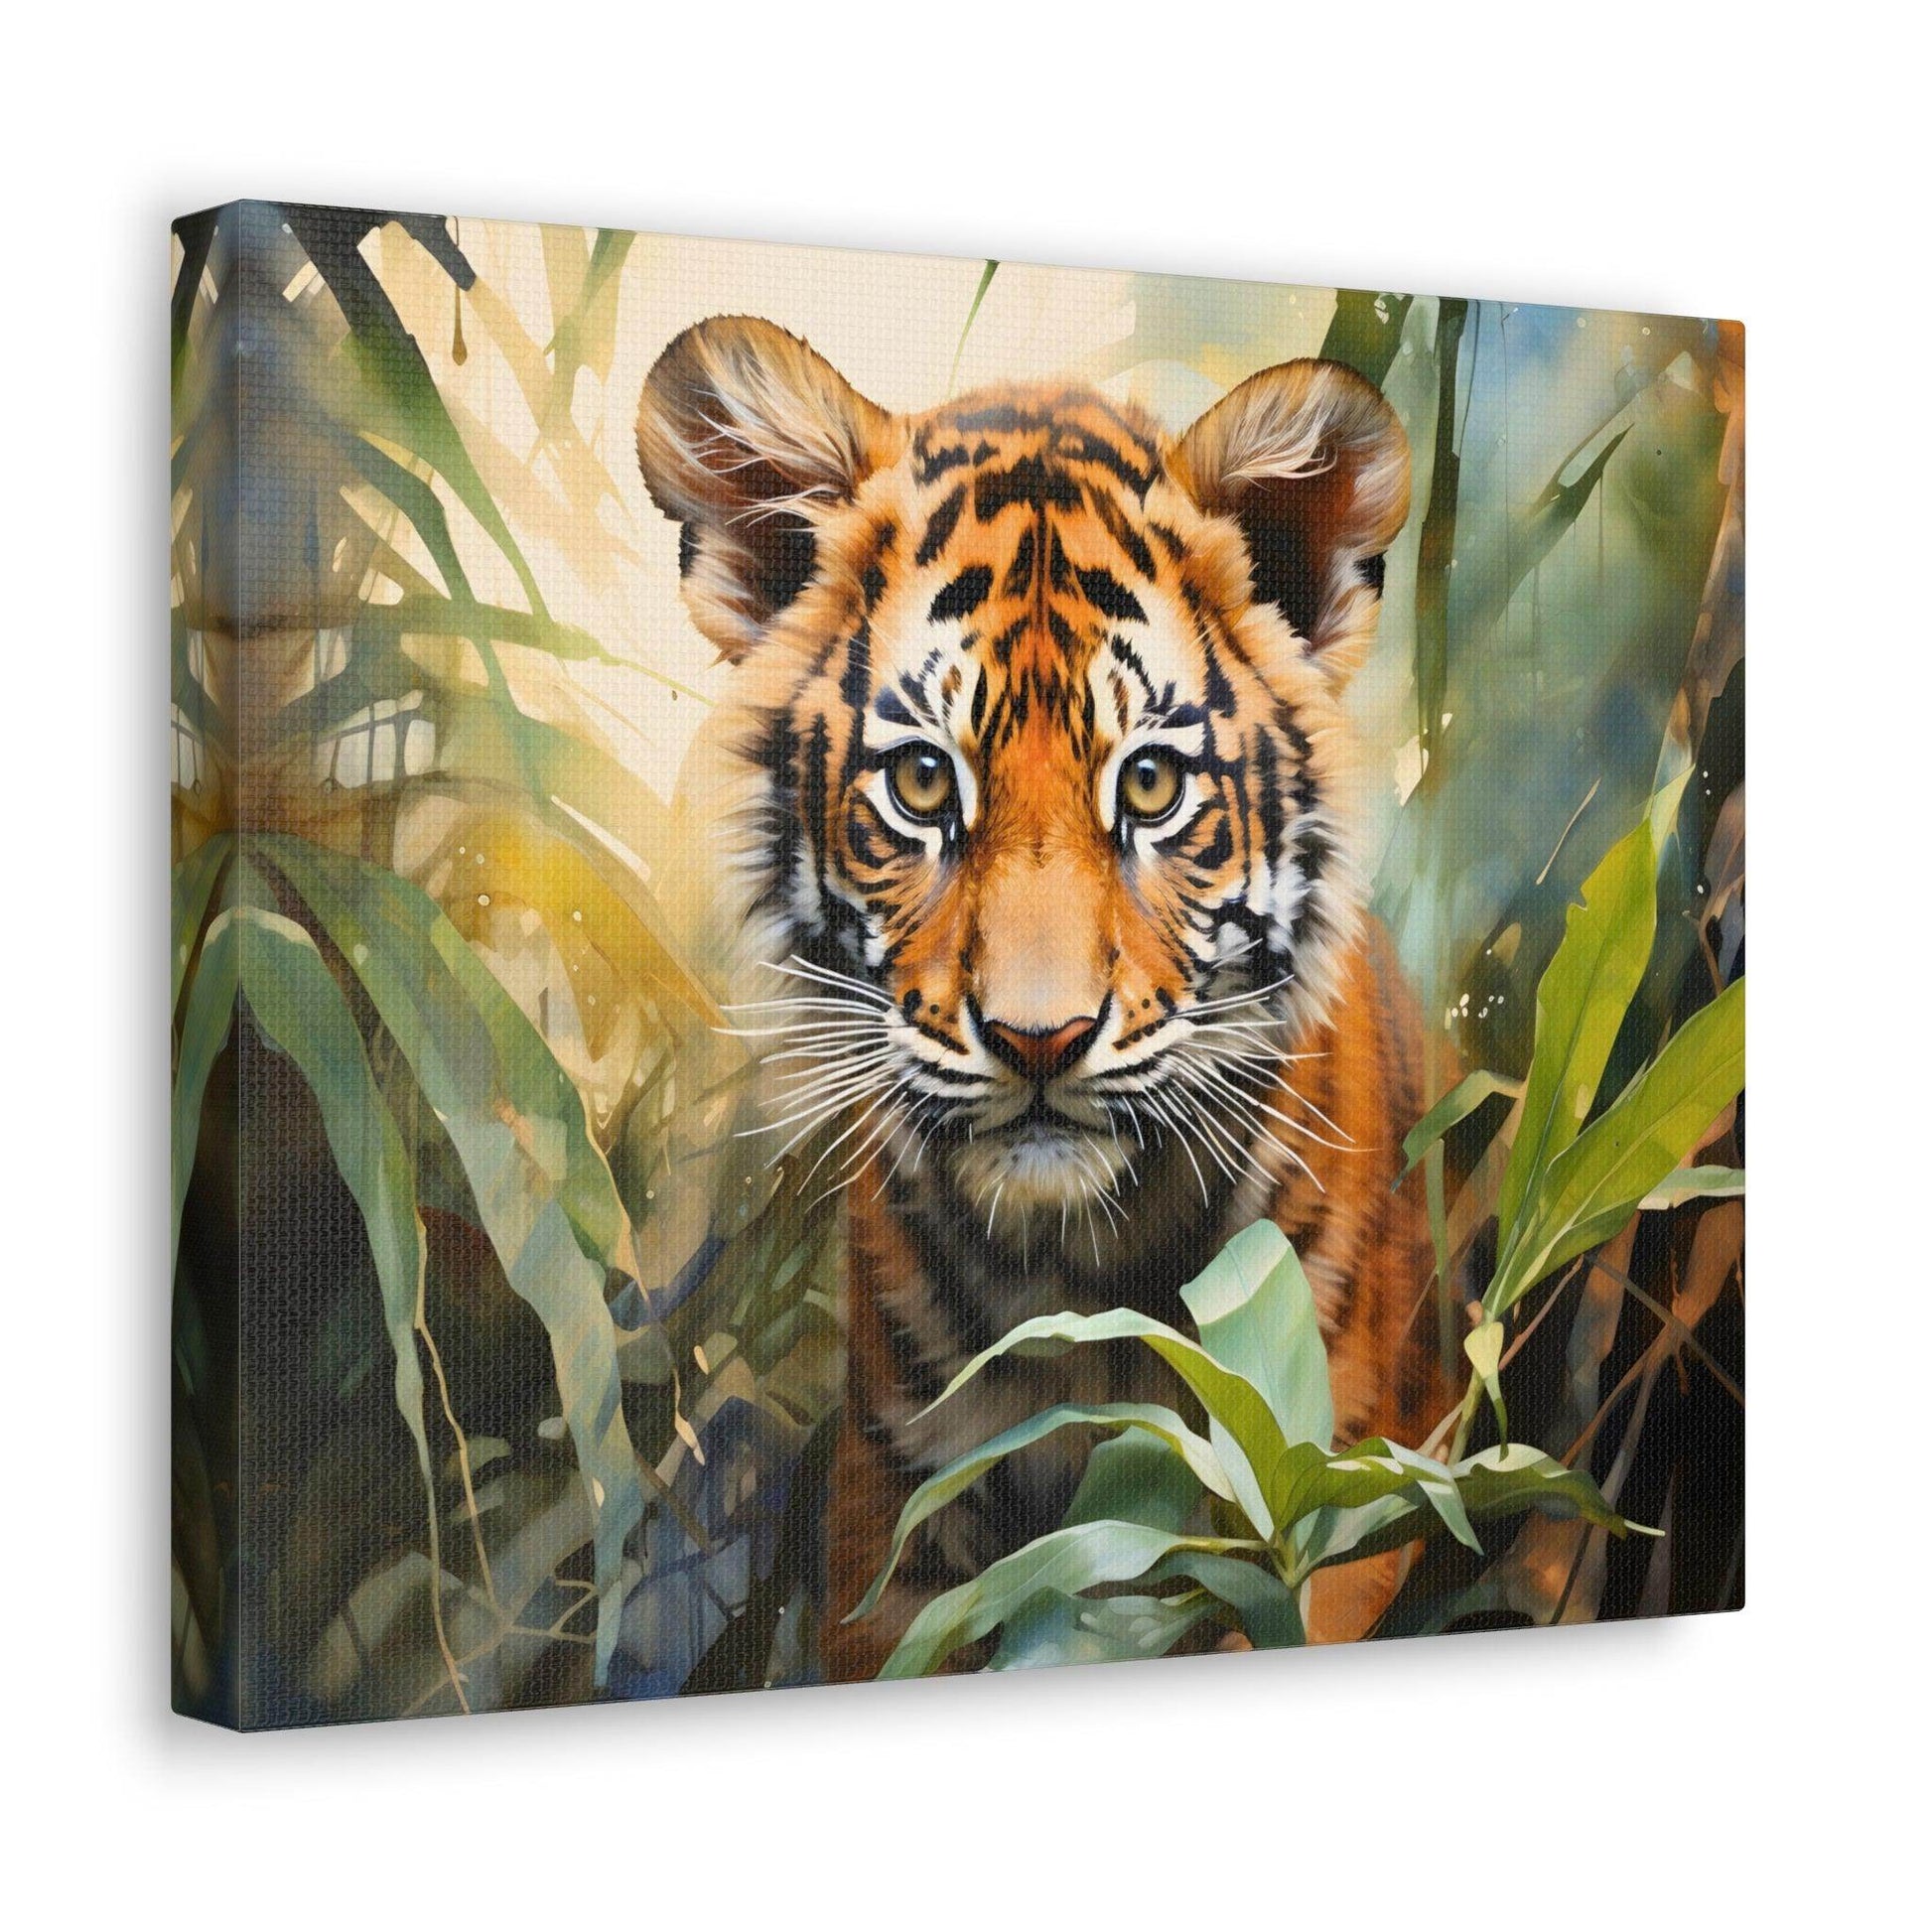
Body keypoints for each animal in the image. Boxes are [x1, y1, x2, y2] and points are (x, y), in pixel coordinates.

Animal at [636, 314, 1451, 1680]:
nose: (1037, 1039)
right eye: (921, 782)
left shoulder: (1335, 1511)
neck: (1075, 1278)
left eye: (1152, 784)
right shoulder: (893, 1528)